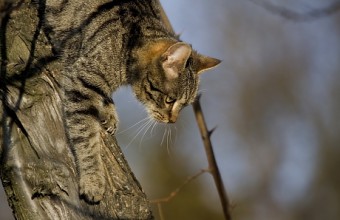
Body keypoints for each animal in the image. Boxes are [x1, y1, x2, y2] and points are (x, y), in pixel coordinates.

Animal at [43, 0, 220, 203]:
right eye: (170, 100)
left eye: (184, 105)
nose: (173, 120)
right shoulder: (82, 83)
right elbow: (86, 138)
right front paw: (93, 179)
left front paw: (109, 111)